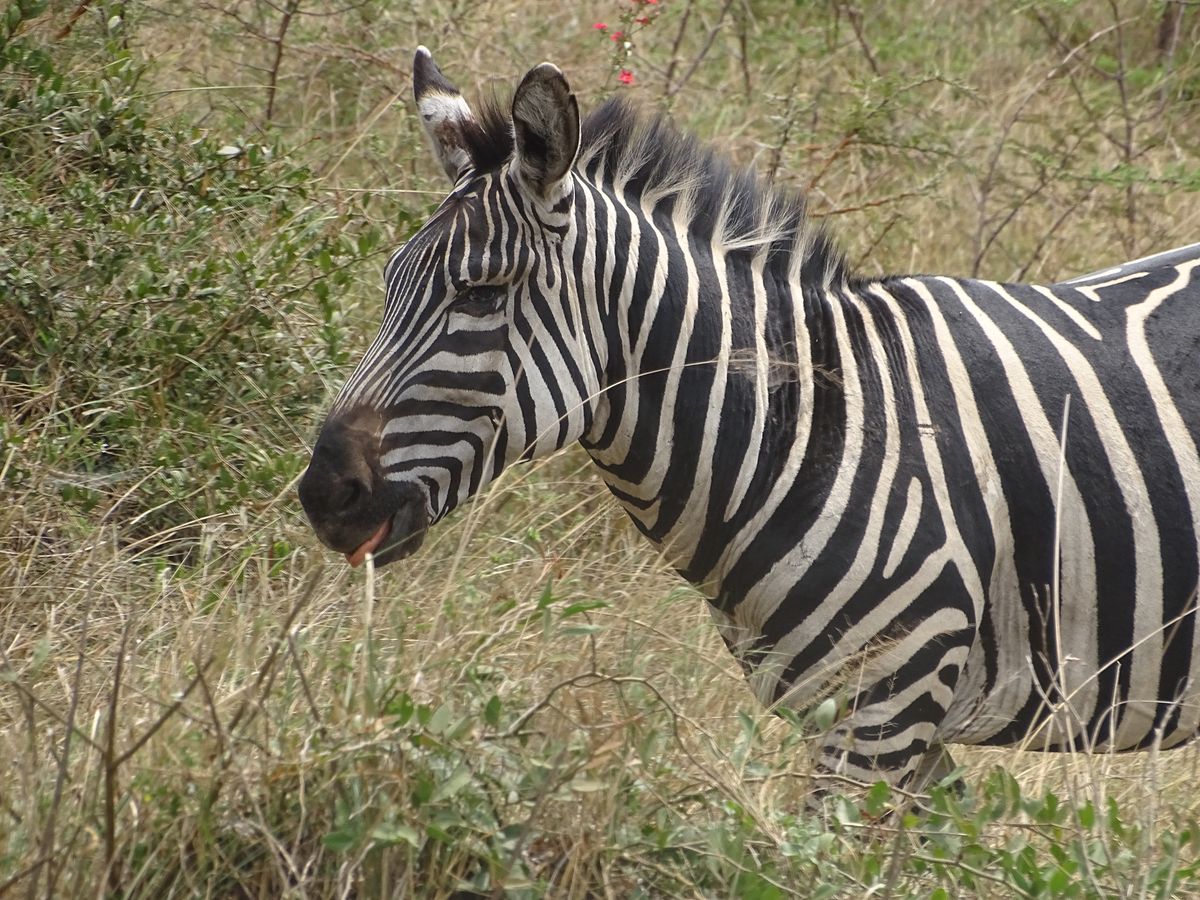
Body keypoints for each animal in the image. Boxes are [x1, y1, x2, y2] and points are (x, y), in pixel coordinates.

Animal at [298, 47, 1200, 803]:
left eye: (481, 294)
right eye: (388, 282)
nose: (324, 495)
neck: (806, 432)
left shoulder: (885, 710)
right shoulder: (875, 722)